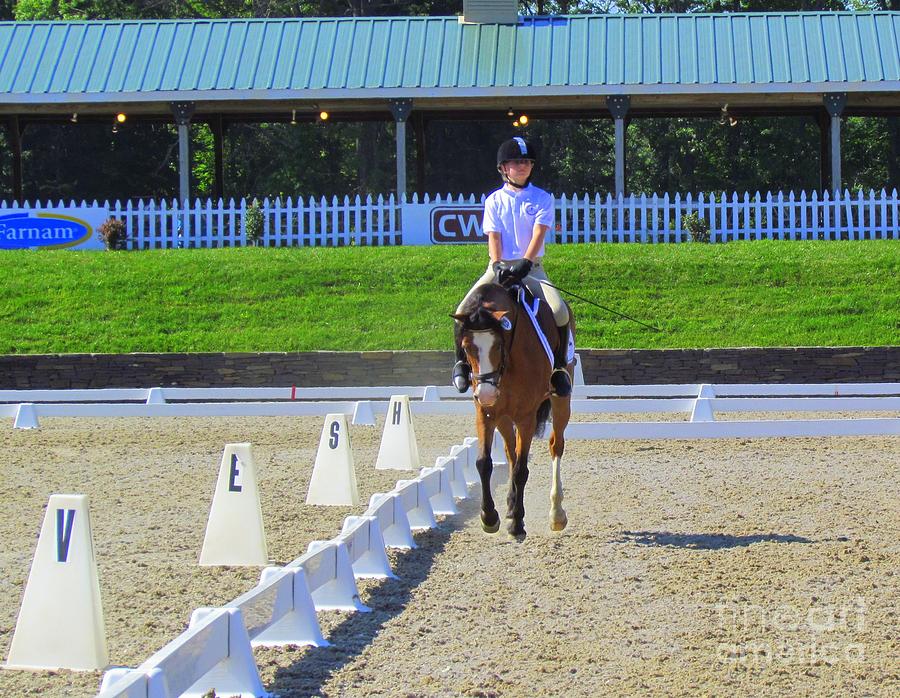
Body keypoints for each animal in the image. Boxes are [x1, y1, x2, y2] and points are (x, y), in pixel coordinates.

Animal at [454, 280, 572, 536]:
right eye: (465, 347)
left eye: (499, 345)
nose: (486, 393)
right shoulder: (485, 413)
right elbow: (484, 463)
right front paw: (489, 517)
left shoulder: (526, 416)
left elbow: (521, 469)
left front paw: (517, 523)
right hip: (503, 417)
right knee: (510, 452)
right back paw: (509, 505)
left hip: (560, 403)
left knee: (555, 445)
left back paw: (556, 514)